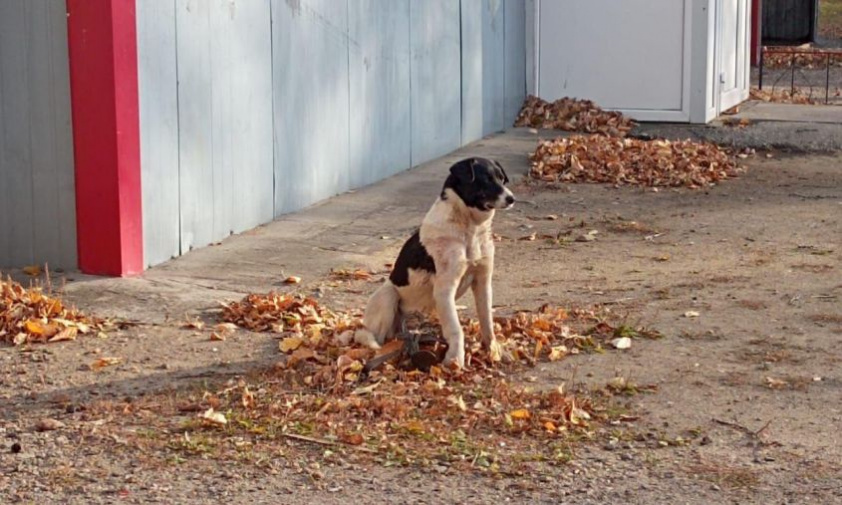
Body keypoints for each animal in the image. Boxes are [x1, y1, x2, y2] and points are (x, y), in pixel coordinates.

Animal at [354, 157, 512, 366]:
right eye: (486, 179)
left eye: (501, 178)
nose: (511, 199)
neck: (469, 228)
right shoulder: (445, 290)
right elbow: (456, 329)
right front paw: (455, 359)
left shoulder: (483, 283)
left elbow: (487, 323)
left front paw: (495, 351)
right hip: (388, 296)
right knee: (380, 339)